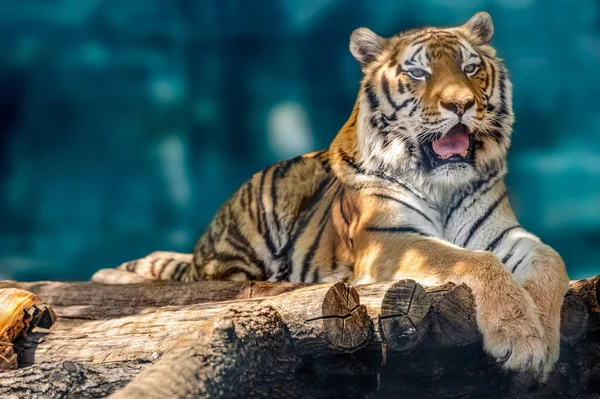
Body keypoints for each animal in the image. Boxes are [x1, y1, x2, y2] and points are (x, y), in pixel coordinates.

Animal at [96, 12, 568, 382]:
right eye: (418, 73)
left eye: (470, 68)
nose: (461, 105)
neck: (441, 183)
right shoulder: (391, 240)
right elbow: (471, 260)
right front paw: (520, 339)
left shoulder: (503, 233)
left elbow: (550, 261)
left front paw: (541, 335)